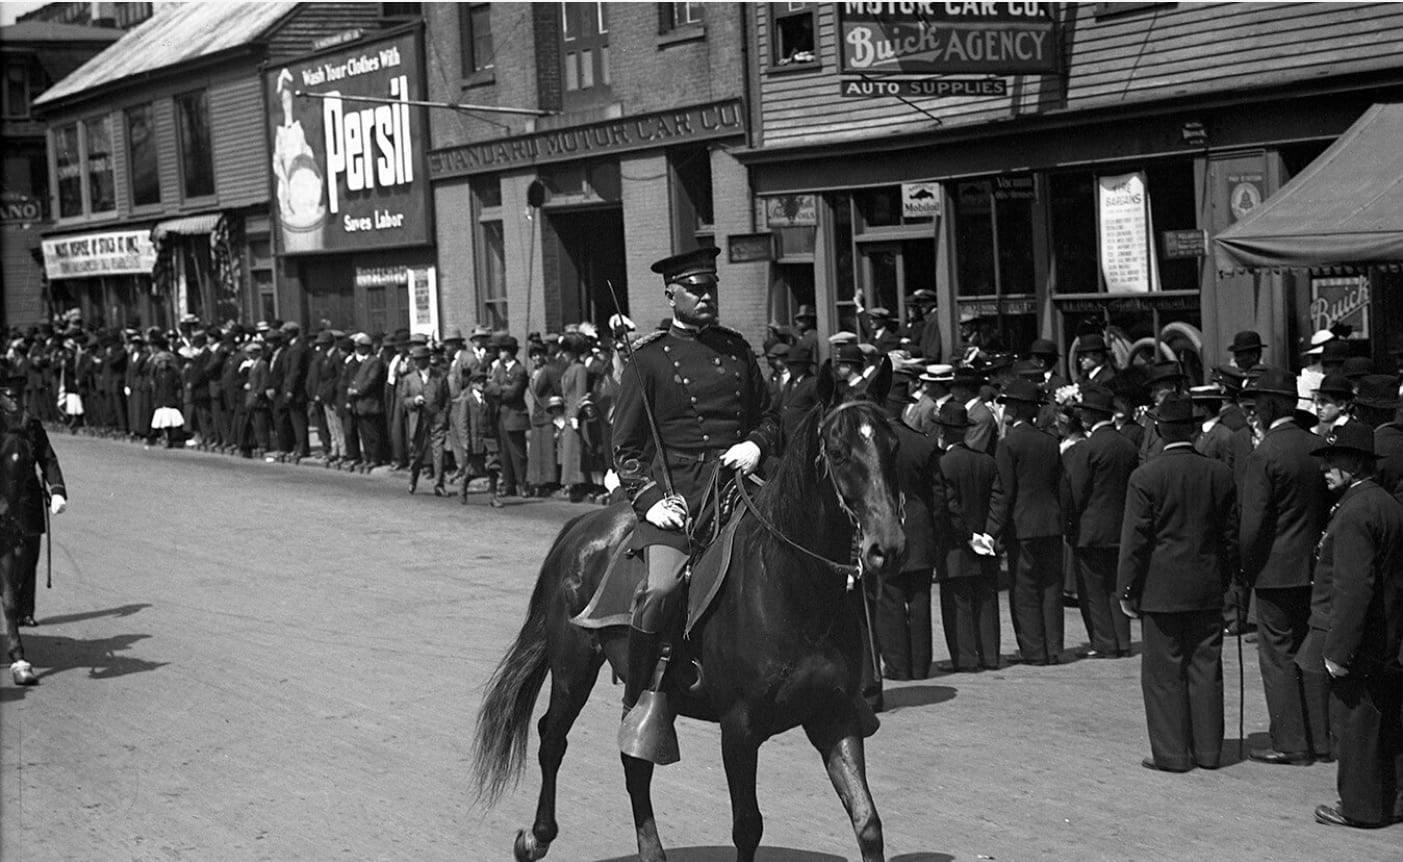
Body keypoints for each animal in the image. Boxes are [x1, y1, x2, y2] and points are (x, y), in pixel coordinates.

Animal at [477, 365, 903, 862]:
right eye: (837, 452)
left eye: (894, 445)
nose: (887, 547)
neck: (795, 589)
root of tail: (582, 527)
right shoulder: (739, 729)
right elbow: (747, 827)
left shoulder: (835, 716)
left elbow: (867, 822)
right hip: (573, 667)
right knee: (553, 738)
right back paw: (537, 836)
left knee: (632, 759)